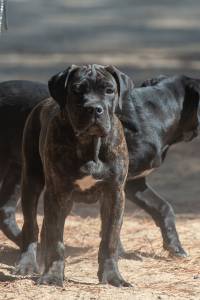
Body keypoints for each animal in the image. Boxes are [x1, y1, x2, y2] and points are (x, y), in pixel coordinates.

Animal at [13, 64, 133, 288]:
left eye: (109, 90)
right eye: (77, 90)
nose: (94, 108)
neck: (90, 144)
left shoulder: (115, 194)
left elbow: (110, 239)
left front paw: (113, 277)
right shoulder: (56, 193)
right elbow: (56, 239)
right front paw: (52, 276)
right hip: (31, 182)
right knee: (31, 225)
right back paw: (27, 264)